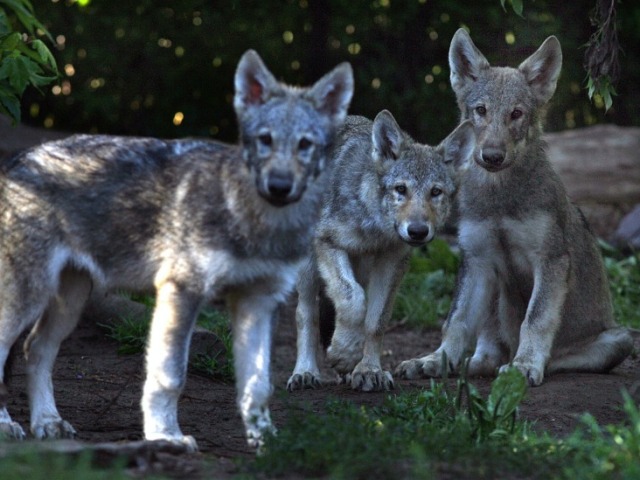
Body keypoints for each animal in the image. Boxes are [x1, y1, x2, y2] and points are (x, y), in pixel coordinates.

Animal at [0, 49, 352, 450]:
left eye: (304, 145)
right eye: (265, 140)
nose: (279, 186)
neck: (252, 220)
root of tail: (19, 159)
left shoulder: (259, 302)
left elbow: (258, 385)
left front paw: (268, 442)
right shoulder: (180, 292)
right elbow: (169, 377)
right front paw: (165, 437)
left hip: (69, 302)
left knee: (35, 349)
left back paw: (47, 422)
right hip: (29, 294)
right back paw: (9, 426)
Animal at [284, 110, 476, 392]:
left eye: (435, 192)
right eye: (401, 189)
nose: (417, 231)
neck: (374, 224)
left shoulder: (392, 262)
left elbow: (375, 320)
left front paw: (368, 369)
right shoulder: (327, 244)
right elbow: (352, 300)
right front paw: (343, 352)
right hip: (309, 268)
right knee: (305, 314)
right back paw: (305, 372)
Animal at [398, 28, 632, 386]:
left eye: (516, 113)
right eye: (481, 110)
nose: (492, 156)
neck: (499, 201)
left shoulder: (550, 261)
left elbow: (535, 320)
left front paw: (526, 365)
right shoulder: (477, 260)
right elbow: (455, 323)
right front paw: (435, 360)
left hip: (622, 339)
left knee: (556, 358)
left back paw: (529, 363)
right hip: (494, 288)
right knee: (488, 353)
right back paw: (472, 365)